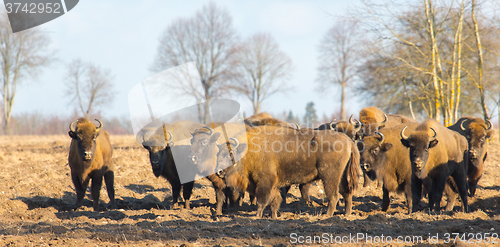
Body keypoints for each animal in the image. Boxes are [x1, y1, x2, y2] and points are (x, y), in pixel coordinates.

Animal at [190, 125, 360, 218]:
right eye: (219, 153)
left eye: (230, 155)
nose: (219, 172)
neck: (249, 150)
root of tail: (349, 141)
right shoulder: (272, 184)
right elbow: (274, 201)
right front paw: (273, 216)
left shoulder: (265, 182)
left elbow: (262, 200)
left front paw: (256, 217)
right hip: (342, 176)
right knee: (346, 193)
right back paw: (346, 214)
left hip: (329, 176)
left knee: (334, 195)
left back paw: (327, 215)